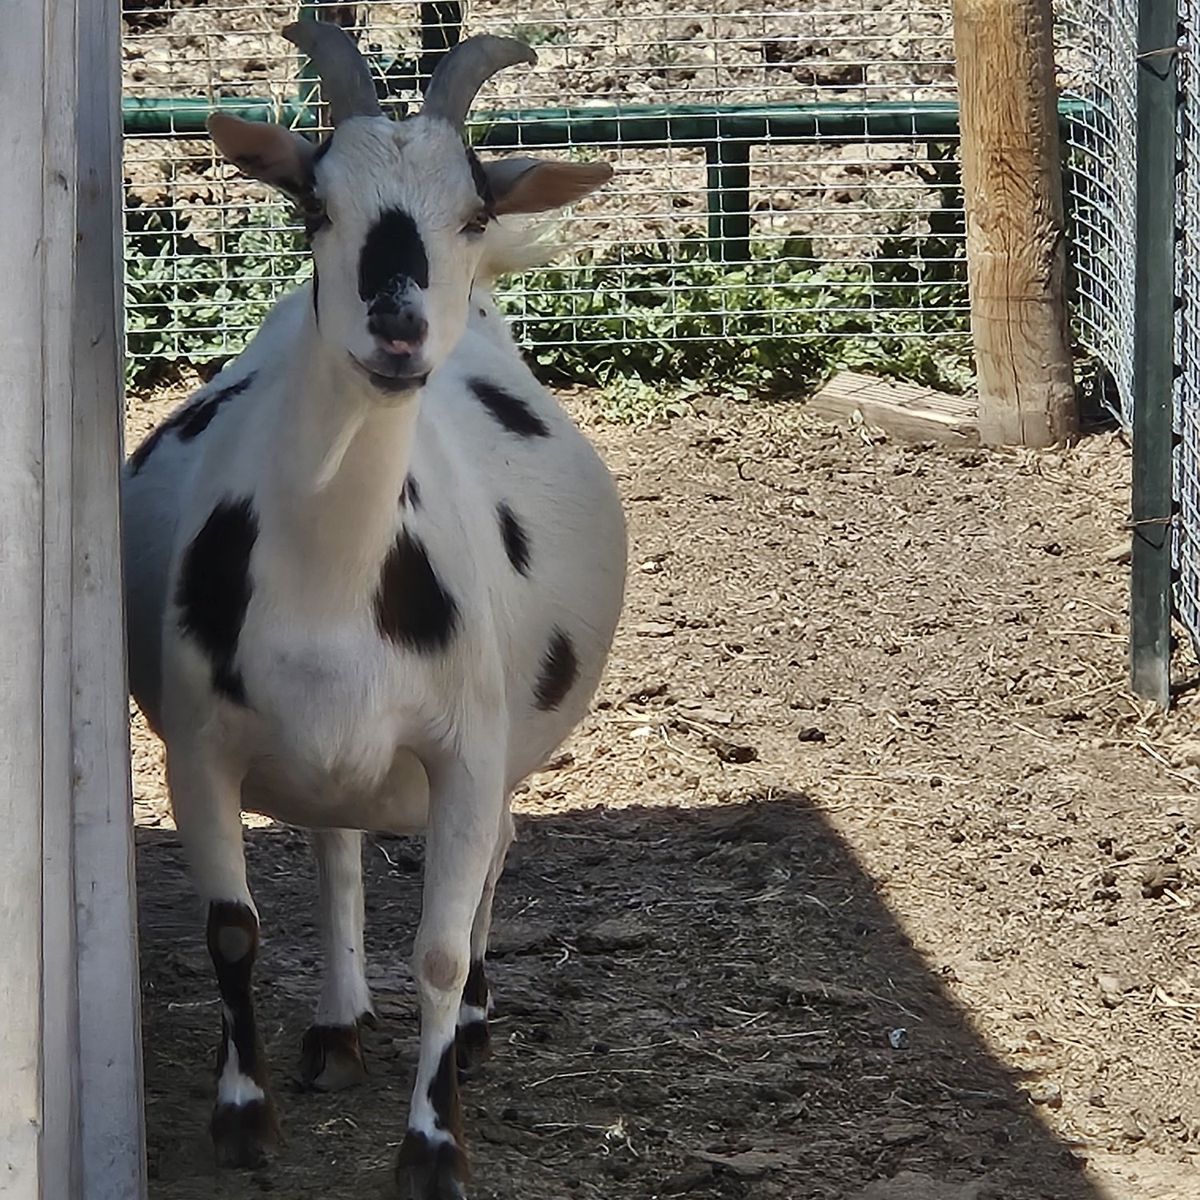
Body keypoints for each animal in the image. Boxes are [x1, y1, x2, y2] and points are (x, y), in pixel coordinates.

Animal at [122, 22, 626, 1198]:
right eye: (315, 205)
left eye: (472, 212)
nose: (397, 329)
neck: (331, 580)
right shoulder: (199, 749)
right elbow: (232, 930)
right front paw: (244, 1114)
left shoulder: (466, 750)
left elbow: (438, 947)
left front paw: (434, 1144)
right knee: (337, 848)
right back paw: (335, 1029)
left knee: (494, 856)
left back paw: (474, 1027)